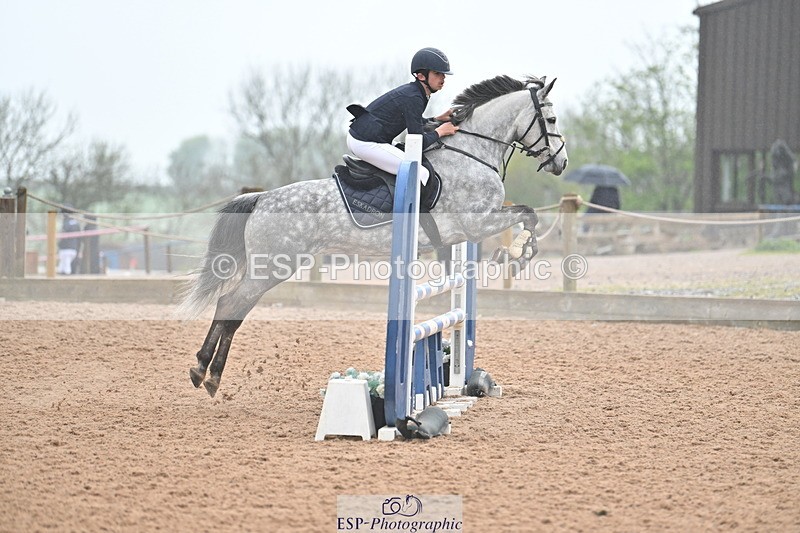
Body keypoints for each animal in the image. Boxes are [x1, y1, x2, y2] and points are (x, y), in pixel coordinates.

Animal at [181, 74, 568, 397]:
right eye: (550, 120)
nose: (561, 163)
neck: (471, 153)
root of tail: (262, 198)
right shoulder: (477, 223)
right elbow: (529, 215)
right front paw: (517, 255)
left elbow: (525, 217)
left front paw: (516, 253)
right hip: (275, 266)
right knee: (230, 304)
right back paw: (206, 373)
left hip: (270, 265)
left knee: (232, 306)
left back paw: (204, 372)